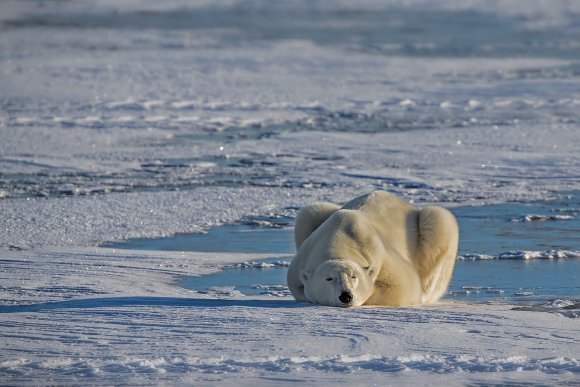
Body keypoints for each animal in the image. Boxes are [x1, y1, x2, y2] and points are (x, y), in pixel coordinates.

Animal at [288, 189, 460, 308]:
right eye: (328, 278)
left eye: (354, 276)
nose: (346, 296)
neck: (339, 240)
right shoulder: (301, 262)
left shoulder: (379, 252)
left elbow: (404, 286)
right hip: (313, 216)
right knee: (309, 212)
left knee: (439, 220)